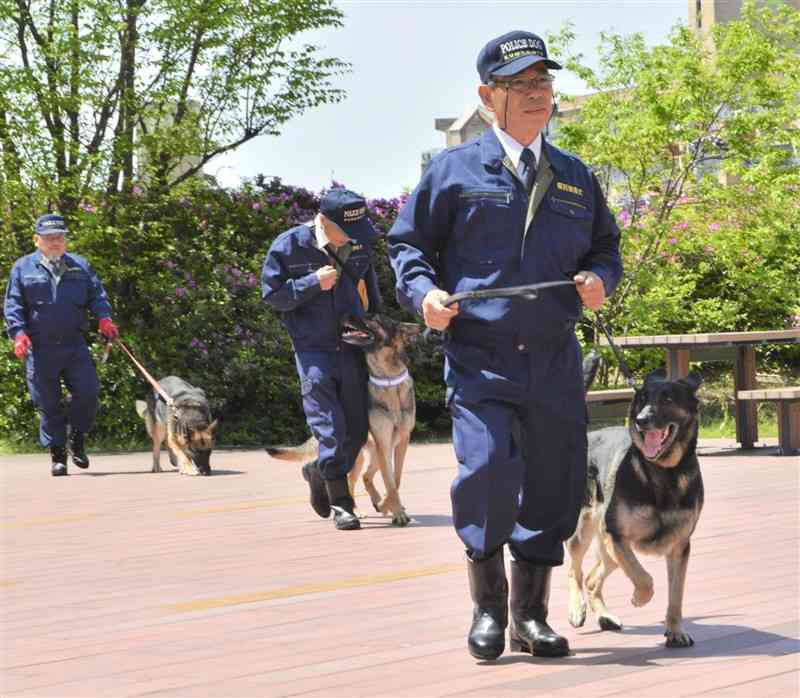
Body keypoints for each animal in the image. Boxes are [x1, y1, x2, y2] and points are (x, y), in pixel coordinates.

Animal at [268, 312, 422, 524]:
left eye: (374, 318)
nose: (346, 314)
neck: (388, 379)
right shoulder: (384, 444)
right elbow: (389, 482)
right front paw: (397, 512)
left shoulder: (401, 442)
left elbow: (395, 479)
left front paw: (390, 506)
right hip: (359, 455)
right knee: (348, 478)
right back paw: (354, 510)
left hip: (374, 453)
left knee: (366, 477)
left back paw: (377, 503)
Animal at [564, 370, 704, 648]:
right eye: (642, 398)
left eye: (668, 398)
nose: (641, 421)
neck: (665, 472)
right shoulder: (617, 537)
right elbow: (643, 577)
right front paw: (640, 598)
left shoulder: (679, 548)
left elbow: (676, 597)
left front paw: (675, 631)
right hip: (584, 532)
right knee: (575, 570)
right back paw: (576, 609)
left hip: (609, 552)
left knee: (592, 578)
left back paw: (605, 616)